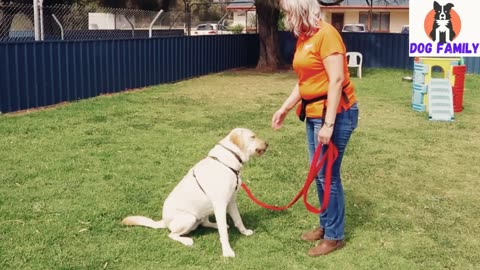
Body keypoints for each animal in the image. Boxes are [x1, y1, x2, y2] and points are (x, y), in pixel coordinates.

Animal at [122, 129, 268, 258]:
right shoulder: (220, 205)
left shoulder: (231, 201)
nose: (267, 144)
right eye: (253, 136)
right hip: (189, 218)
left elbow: (238, 220)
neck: (227, 161)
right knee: (172, 234)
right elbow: (224, 234)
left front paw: (245, 232)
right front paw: (227, 252)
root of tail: (164, 221)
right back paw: (187, 240)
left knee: (204, 223)